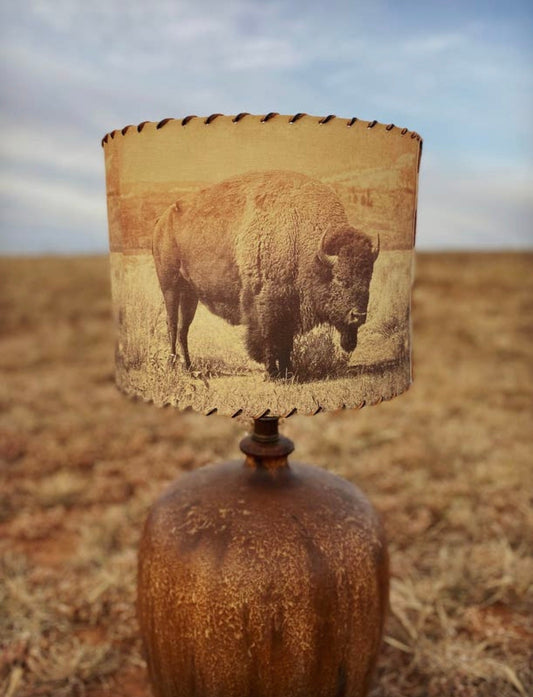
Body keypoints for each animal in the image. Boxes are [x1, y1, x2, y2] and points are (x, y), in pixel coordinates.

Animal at [153, 170, 379, 379]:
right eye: (340, 279)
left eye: (368, 278)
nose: (358, 316)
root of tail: (162, 220)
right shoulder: (266, 304)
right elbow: (268, 339)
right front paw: (273, 373)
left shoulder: (290, 308)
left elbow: (286, 343)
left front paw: (288, 371)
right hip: (170, 286)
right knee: (173, 325)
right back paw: (172, 366)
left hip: (190, 294)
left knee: (183, 329)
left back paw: (189, 368)